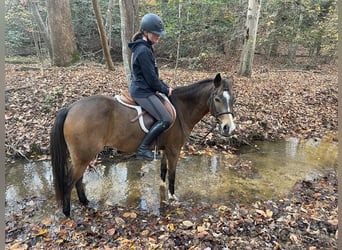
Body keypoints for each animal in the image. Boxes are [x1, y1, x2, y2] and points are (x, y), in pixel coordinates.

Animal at [50, 73, 235, 217]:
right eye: (217, 99)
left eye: (232, 100)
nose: (229, 127)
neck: (181, 108)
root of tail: (70, 108)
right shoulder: (174, 150)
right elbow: (172, 175)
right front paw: (173, 197)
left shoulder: (165, 150)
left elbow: (163, 171)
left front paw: (163, 191)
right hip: (83, 156)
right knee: (69, 182)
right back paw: (67, 212)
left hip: (83, 157)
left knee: (78, 180)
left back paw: (85, 202)